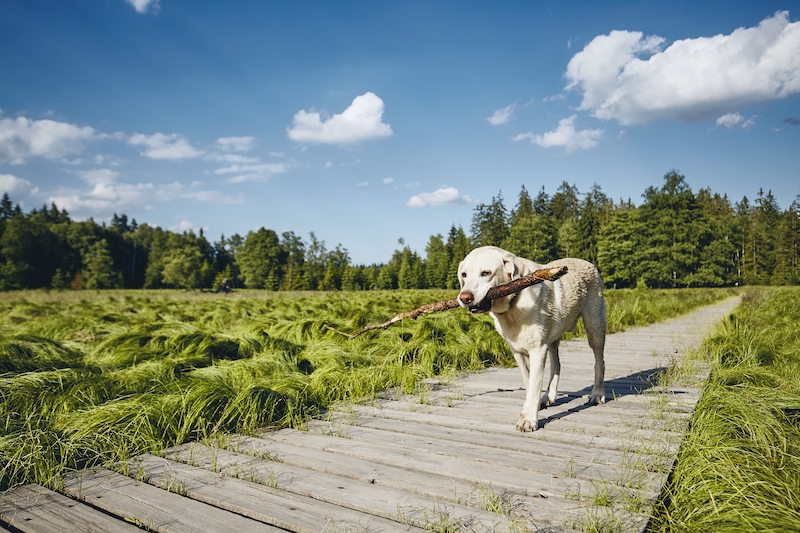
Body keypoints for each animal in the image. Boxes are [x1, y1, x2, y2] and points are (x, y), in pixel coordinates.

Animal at [456, 247, 608, 430]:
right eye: (464, 275)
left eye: (486, 273)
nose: (464, 298)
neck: (513, 305)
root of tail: (588, 262)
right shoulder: (518, 352)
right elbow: (529, 383)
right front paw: (530, 408)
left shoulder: (537, 350)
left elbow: (535, 385)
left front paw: (528, 419)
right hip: (553, 339)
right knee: (556, 365)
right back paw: (547, 397)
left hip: (595, 328)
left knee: (599, 362)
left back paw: (597, 394)